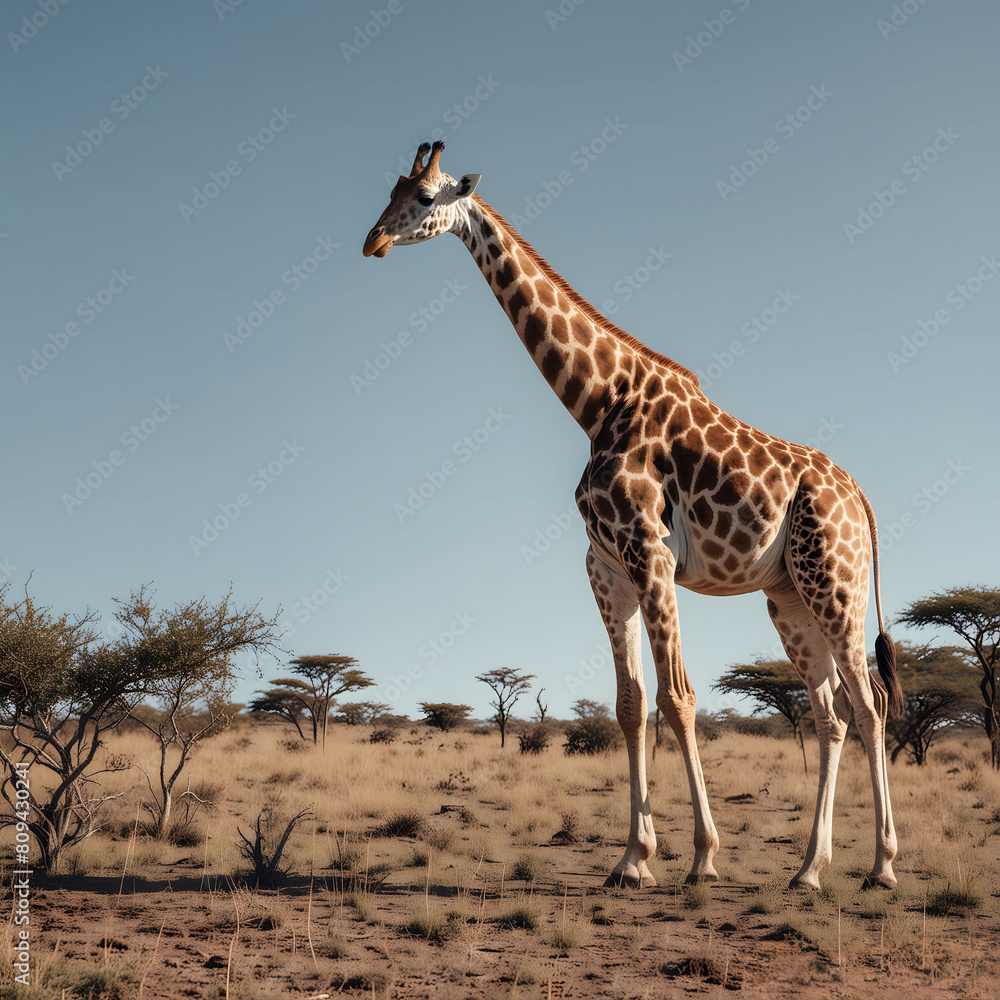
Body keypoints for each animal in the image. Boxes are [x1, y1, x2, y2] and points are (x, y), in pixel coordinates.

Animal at [363, 141, 903, 890]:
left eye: (421, 198)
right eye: (388, 190)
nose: (373, 241)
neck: (596, 402)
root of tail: (858, 495)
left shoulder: (650, 553)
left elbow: (677, 697)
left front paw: (702, 857)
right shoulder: (605, 566)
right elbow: (628, 705)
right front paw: (631, 860)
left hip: (836, 581)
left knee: (870, 704)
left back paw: (881, 866)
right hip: (789, 595)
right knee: (832, 713)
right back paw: (808, 870)